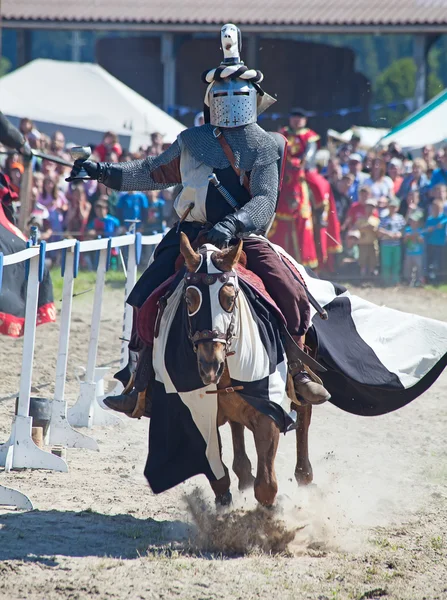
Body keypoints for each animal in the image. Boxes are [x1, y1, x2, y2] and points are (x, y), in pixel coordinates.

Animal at [173, 233, 314, 506]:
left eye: (229, 299)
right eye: (189, 300)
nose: (210, 365)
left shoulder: (268, 409)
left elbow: (267, 483)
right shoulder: (202, 413)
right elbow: (217, 471)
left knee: (304, 413)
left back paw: (304, 474)